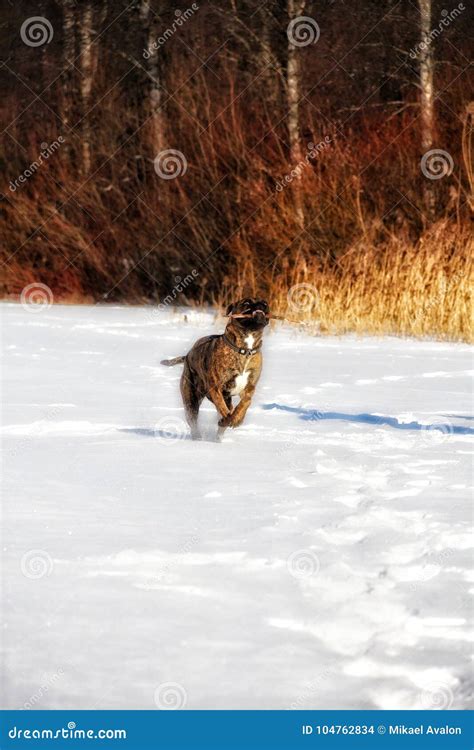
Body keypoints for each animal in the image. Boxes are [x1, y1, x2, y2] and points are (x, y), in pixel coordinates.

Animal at [160, 300, 268, 440]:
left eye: (264, 302)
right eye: (246, 302)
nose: (263, 303)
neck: (245, 350)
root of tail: (188, 355)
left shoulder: (249, 388)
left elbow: (245, 403)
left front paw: (238, 419)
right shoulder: (216, 388)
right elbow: (223, 408)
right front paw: (229, 419)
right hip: (191, 400)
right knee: (193, 422)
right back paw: (199, 437)